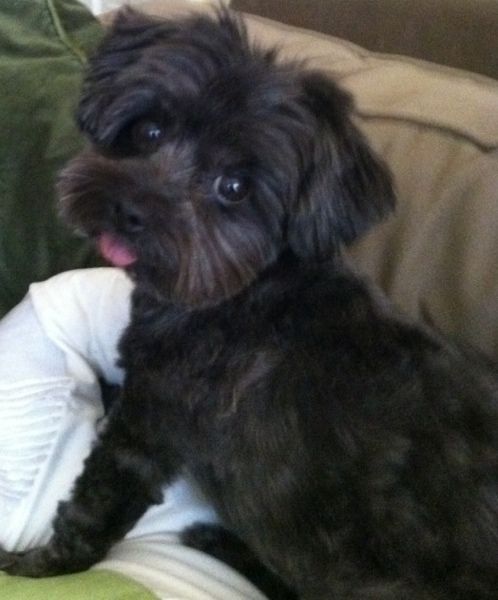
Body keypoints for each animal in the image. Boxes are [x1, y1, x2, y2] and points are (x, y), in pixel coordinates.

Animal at [2, 7, 498, 596]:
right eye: (149, 130)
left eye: (234, 187)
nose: (129, 209)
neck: (244, 294)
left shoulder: (150, 422)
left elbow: (93, 506)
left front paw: (34, 566)